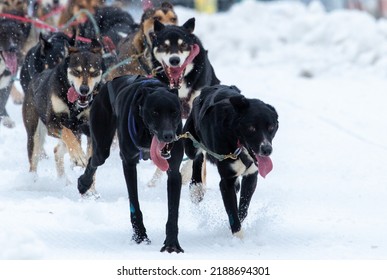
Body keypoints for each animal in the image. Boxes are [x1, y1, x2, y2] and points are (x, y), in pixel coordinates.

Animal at [77, 75, 185, 254]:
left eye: (174, 112)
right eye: (155, 112)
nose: (168, 136)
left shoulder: (174, 171)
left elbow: (173, 212)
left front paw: (171, 243)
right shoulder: (128, 163)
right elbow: (134, 203)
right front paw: (140, 236)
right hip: (102, 145)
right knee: (94, 159)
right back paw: (84, 183)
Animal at [183, 85, 278, 236]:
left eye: (271, 127)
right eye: (251, 128)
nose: (267, 149)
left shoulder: (251, 176)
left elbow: (243, 210)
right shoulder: (226, 182)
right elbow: (233, 213)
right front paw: (238, 237)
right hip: (190, 143)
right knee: (197, 156)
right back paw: (196, 188)